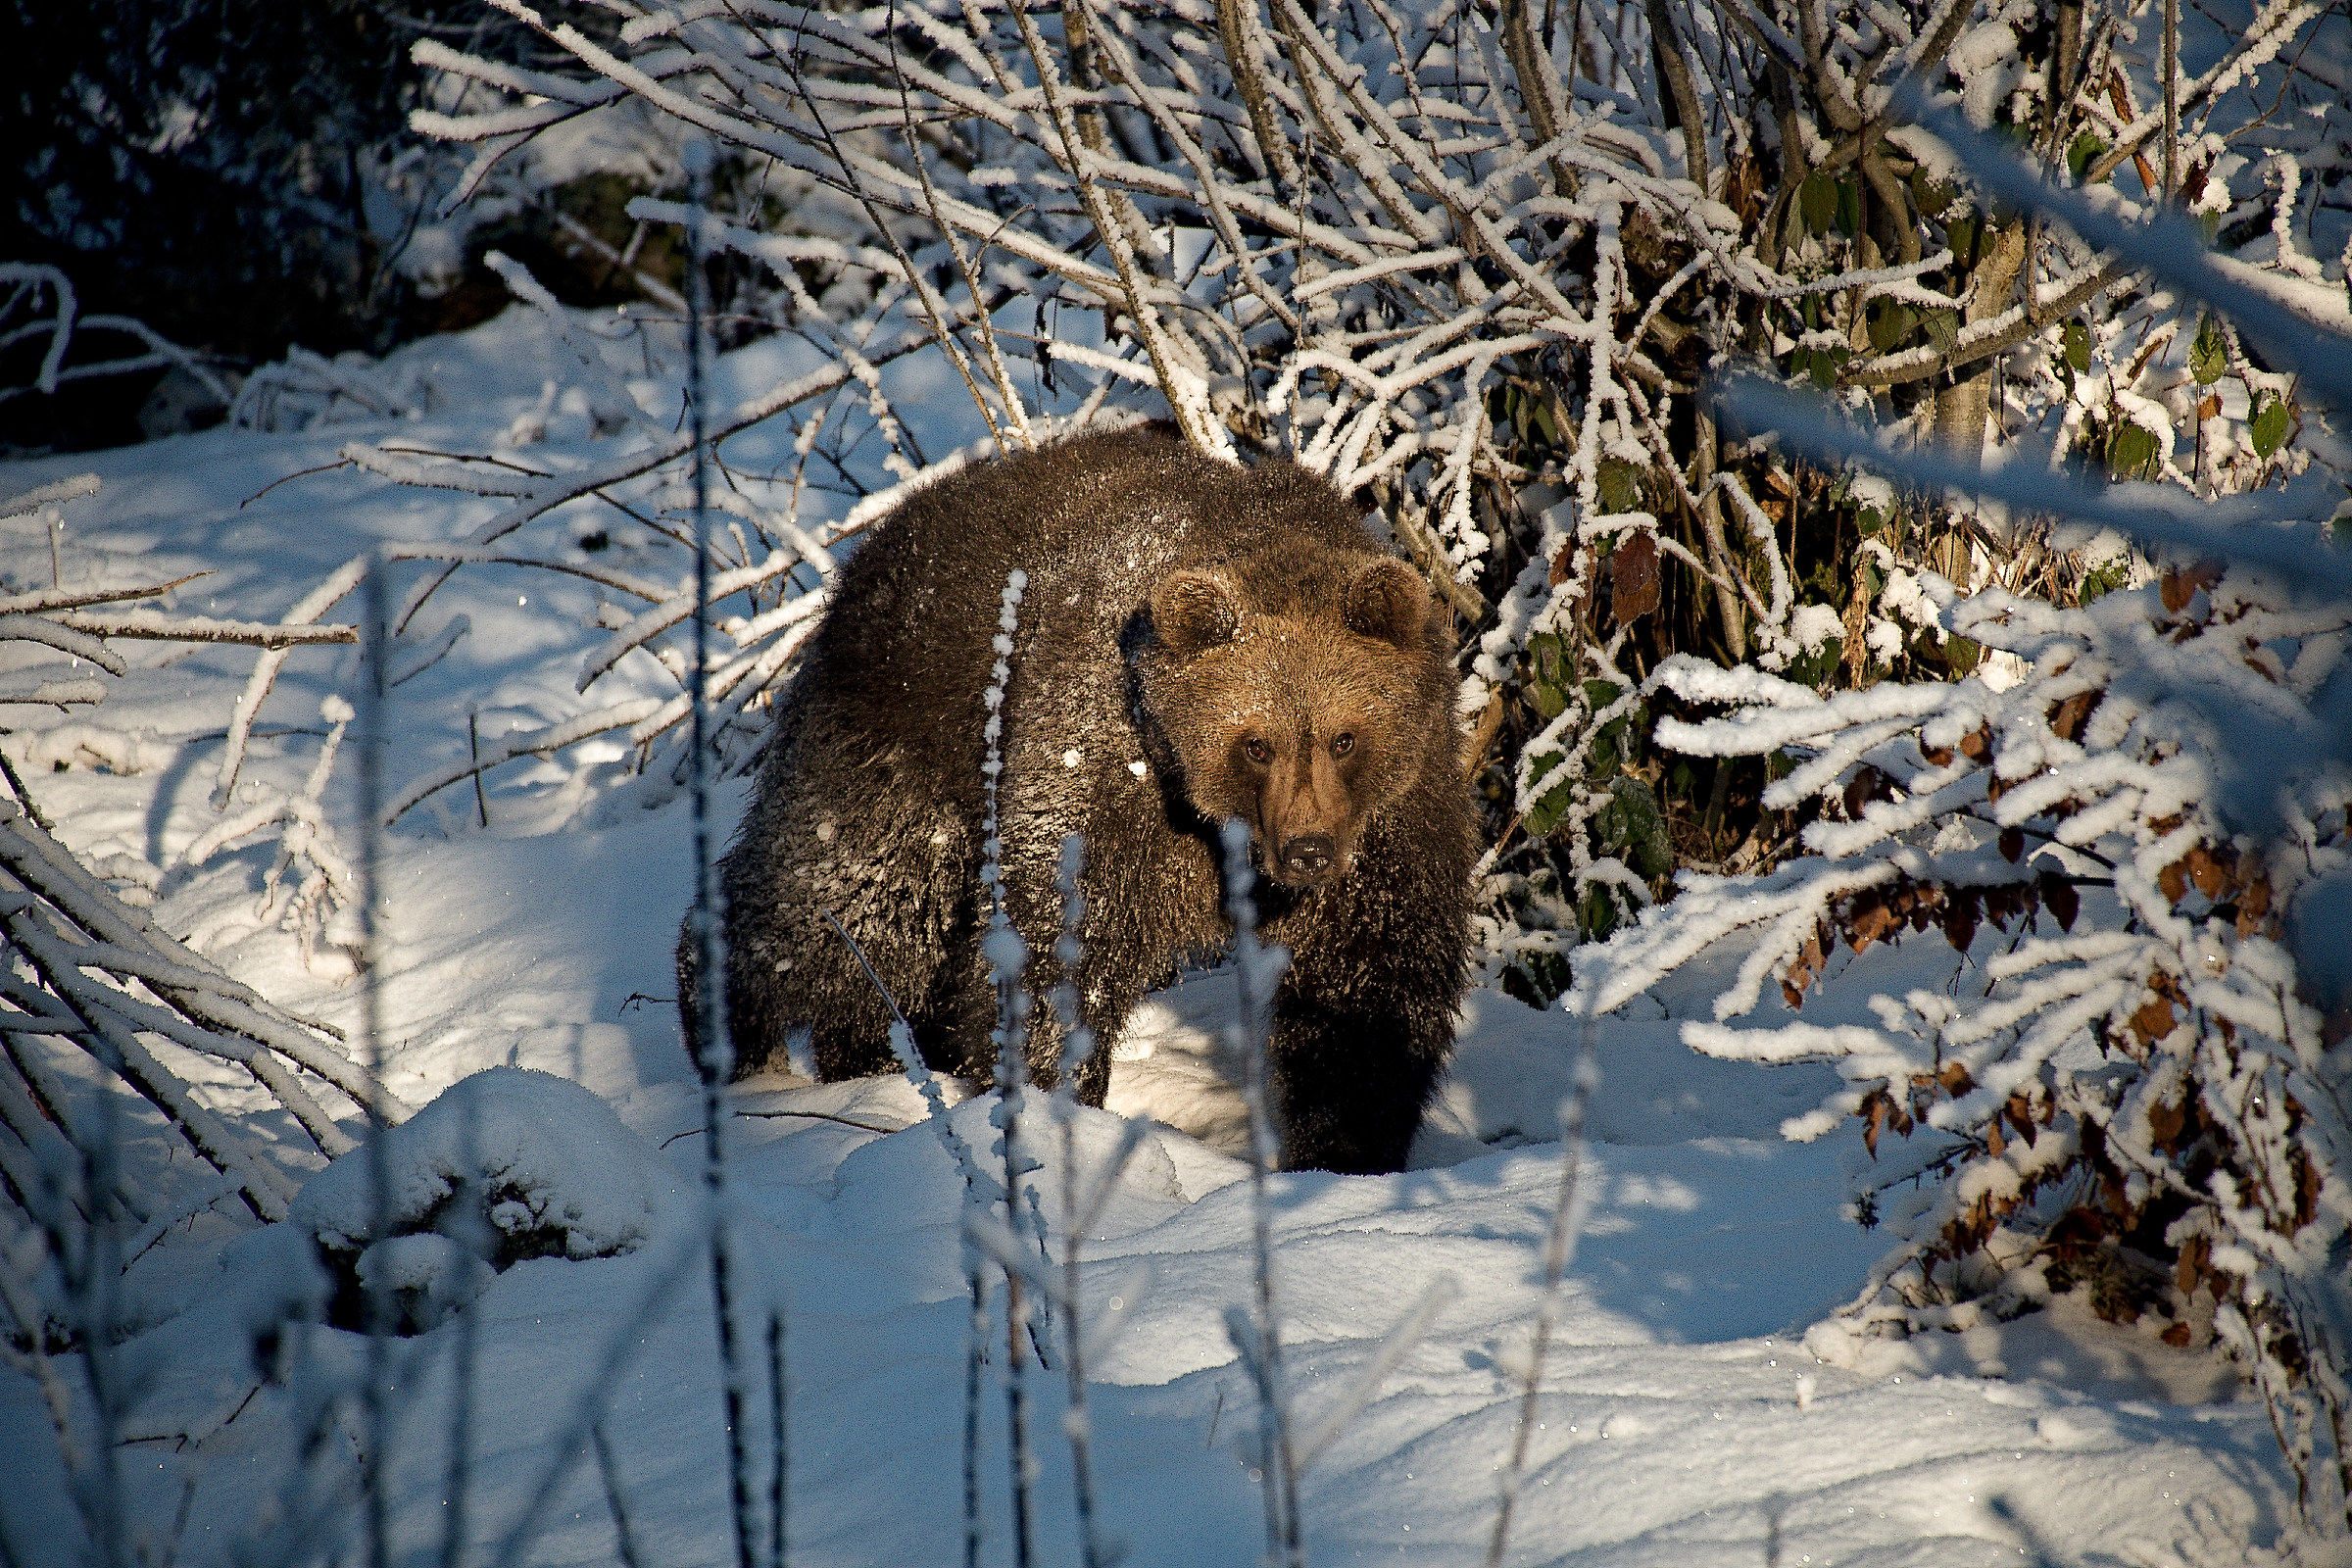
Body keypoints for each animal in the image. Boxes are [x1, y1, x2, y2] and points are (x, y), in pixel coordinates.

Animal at [680, 425, 1475, 1174]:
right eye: (1255, 742)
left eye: (1345, 737)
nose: (1307, 851)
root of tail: (875, 545)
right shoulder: (1105, 772)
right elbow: (1055, 948)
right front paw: (1052, 1101)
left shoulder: (1393, 823)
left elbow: (1367, 993)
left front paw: (1347, 1148)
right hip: (909, 739)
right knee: (843, 905)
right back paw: (723, 1021)